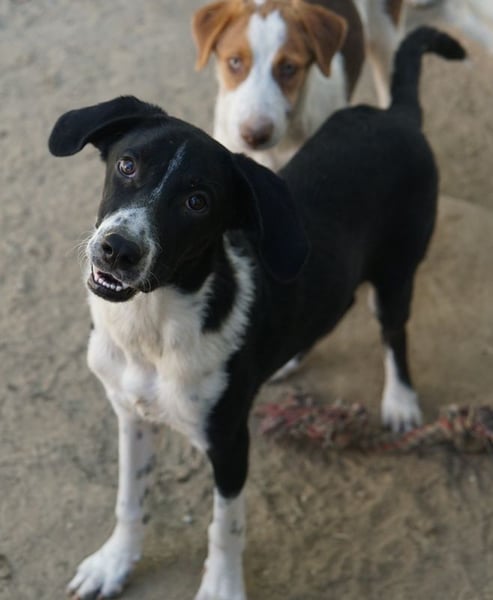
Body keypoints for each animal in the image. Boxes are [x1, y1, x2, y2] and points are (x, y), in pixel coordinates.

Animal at [49, 26, 465, 600]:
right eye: (127, 164)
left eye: (198, 201)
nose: (117, 249)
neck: (152, 330)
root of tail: (397, 114)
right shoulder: (131, 414)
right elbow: (129, 499)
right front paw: (115, 561)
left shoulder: (229, 441)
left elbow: (226, 526)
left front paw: (221, 586)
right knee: (337, 303)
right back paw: (290, 361)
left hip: (397, 269)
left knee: (394, 332)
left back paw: (400, 401)